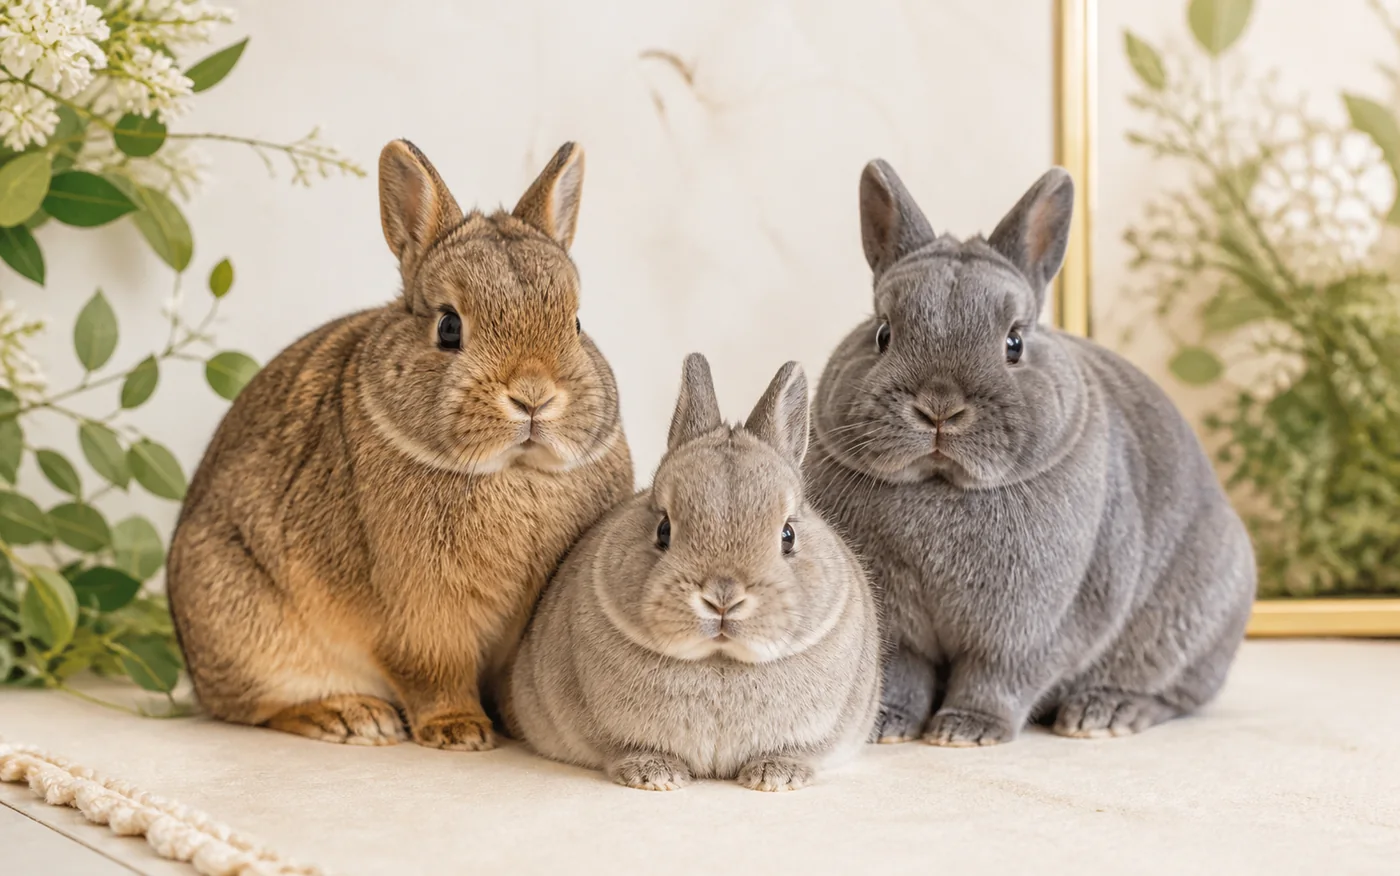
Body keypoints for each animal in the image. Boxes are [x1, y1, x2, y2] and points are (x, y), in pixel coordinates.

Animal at [166, 140, 633, 750]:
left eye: (576, 324)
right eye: (449, 327)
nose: (533, 397)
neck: (514, 469)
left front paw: (521, 725)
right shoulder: (420, 615)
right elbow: (433, 671)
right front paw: (460, 731)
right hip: (243, 623)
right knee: (253, 706)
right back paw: (351, 717)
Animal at [507, 353, 881, 791]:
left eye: (788, 535)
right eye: (663, 529)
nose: (723, 598)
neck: (719, 660)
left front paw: (776, 777)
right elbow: (622, 750)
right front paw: (656, 775)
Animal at [804, 161, 1256, 747]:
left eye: (1014, 343)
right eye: (882, 333)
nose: (939, 407)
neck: (941, 485)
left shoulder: (1030, 629)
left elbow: (997, 678)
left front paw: (966, 732)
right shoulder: (899, 631)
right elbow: (903, 674)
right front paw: (889, 727)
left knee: (1172, 695)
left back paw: (1104, 714)